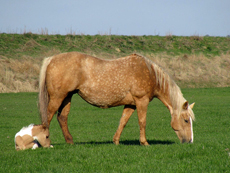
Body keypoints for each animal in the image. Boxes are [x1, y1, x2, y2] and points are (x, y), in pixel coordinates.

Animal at [38, 51, 195, 146]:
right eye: (186, 120)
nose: (189, 141)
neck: (150, 73)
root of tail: (52, 59)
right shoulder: (141, 101)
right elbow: (142, 122)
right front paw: (144, 143)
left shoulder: (131, 104)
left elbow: (123, 122)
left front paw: (116, 141)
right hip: (57, 97)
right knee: (48, 117)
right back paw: (46, 142)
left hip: (67, 97)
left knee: (62, 118)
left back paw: (70, 142)